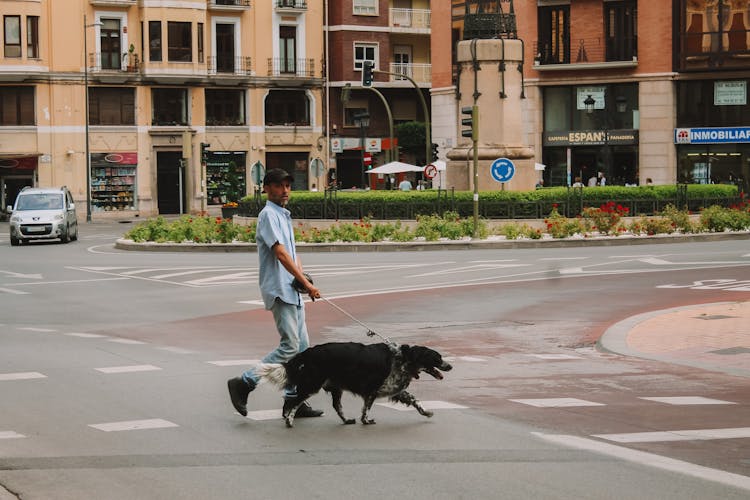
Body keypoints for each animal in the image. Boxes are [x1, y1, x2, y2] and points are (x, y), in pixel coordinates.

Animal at [260, 342, 452, 428]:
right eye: (438, 358)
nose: (450, 366)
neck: (404, 358)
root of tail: (310, 351)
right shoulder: (374, 389)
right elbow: (367, 408)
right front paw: (366, 421)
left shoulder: (394, 388)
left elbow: (414, 400)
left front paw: (426, 412)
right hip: (312, 384)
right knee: (294, 402)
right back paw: (289, 420)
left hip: (335, 387)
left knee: (337, 406)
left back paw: (346, 420)